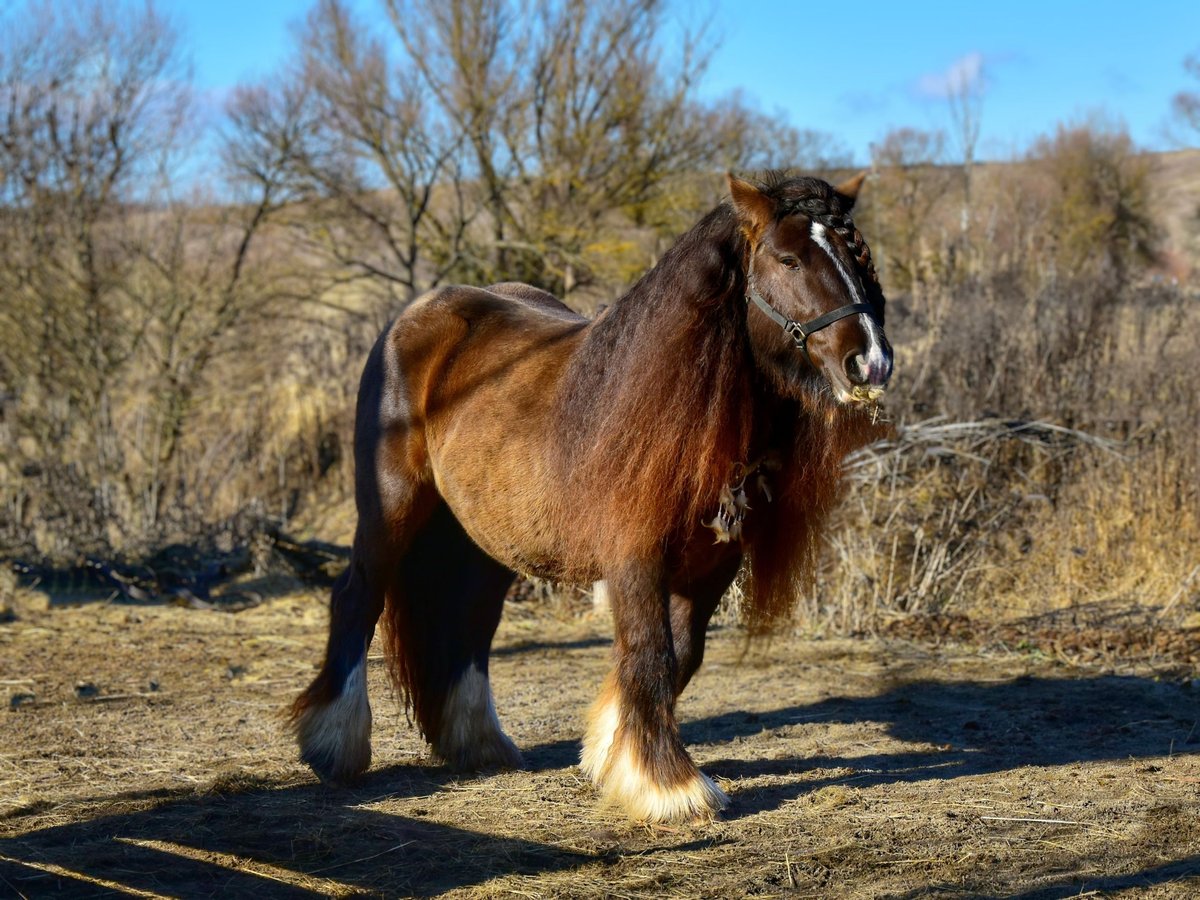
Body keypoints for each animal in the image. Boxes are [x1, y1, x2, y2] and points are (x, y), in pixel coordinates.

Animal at [288, 169, 892, 825]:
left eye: (858, 254)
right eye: (787, 258)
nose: (870, 362)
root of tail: (417, 317)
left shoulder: (711, 567)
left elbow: (681, 655)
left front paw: (612, 754)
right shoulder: (634, 559)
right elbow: (651, 655)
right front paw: (670, 788)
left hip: (484, 537)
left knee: (470, 620)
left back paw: (479, 744)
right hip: (391, 511)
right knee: (358, 597)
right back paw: (334, 745)